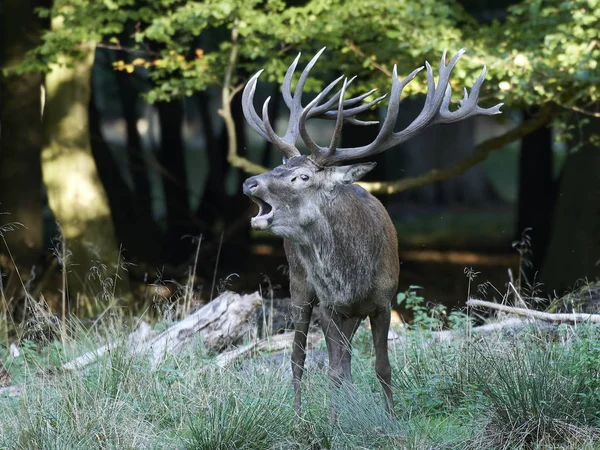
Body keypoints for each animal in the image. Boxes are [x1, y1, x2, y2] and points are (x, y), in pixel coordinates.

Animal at [241, 47, 500, 416]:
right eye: (280, 165)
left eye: (302, 176)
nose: (250, 182)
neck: (353, 277)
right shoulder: (330, 305)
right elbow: (332, 367)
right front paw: (333, 423)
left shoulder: (383, 300)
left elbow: (381, 366)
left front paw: (391, 418)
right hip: (299, 284)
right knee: (299, 356)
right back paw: (298, 414)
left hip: (348, 312)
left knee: (344, 356)